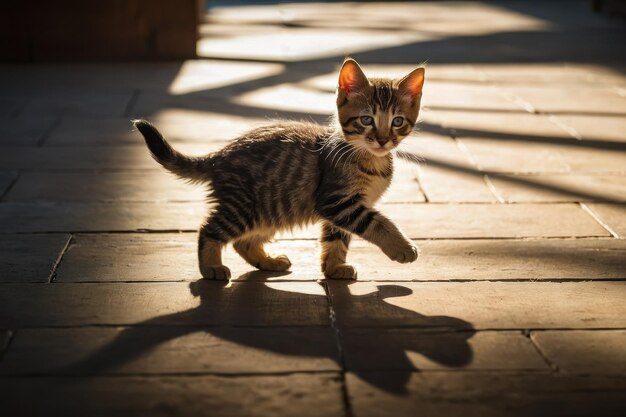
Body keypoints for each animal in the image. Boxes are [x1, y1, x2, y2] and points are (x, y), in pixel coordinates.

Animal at [133, 57, 422, 280]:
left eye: (397, 122)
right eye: (366, 120)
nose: (383, 140)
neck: (371, 160)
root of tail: (221, 155)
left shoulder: (343, 209)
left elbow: (336, 239)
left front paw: (333, 268)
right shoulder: (337, 201)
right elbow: (378, 223)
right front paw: (403, 248)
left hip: (271, 210)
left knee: (243, 241)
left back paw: (267, 261)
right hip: (244, 206)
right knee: (209, 229)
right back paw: (211, 267)